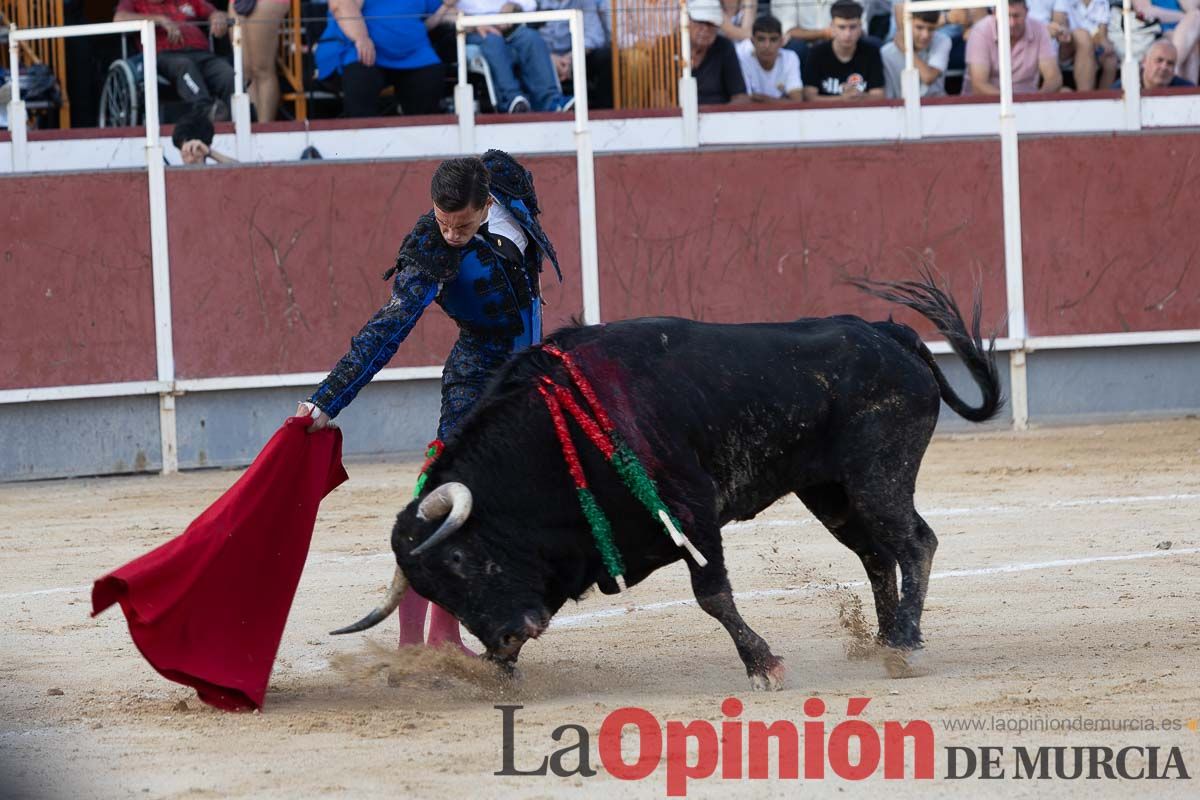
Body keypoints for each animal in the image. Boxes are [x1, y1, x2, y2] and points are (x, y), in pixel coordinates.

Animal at [336, 275, 1003, 690]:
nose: (502, 636)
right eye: (437, 590)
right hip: (830, 493)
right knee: (875, 554)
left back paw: (906, 644)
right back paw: (886, 641)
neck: (556, 436)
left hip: (877, 477)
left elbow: (713, 594)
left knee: (914, 543)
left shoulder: (690, 509)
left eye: (459, 560)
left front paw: (764, 665)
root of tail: (887, 333)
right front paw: (494, 672)